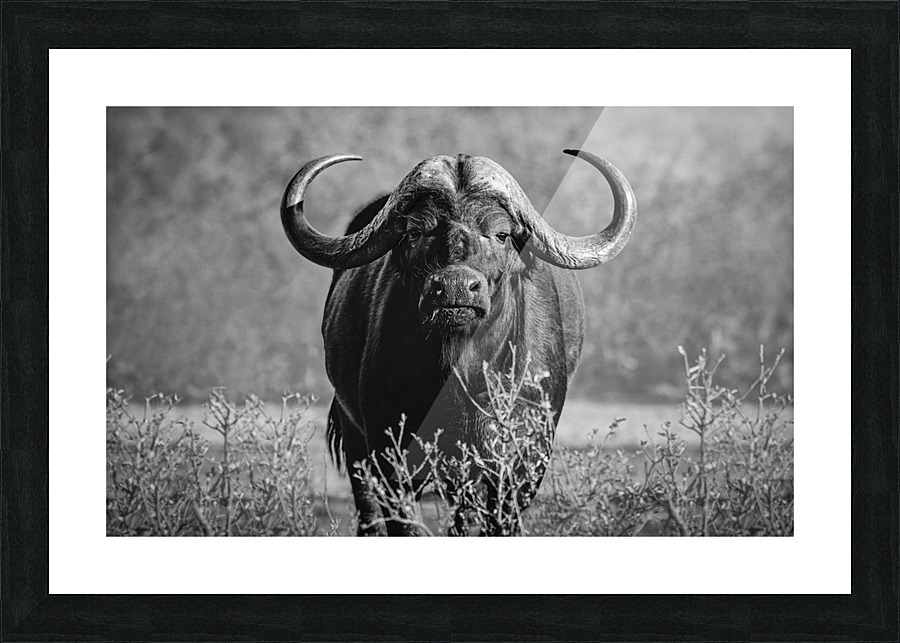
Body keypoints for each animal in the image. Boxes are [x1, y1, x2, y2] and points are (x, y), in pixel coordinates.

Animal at [280, 150, 636, 535]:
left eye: (501, 234)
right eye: (415, 232)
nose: (454, 287)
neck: (460, 375)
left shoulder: (522, 462)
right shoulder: (388, 455)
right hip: (354, 436)